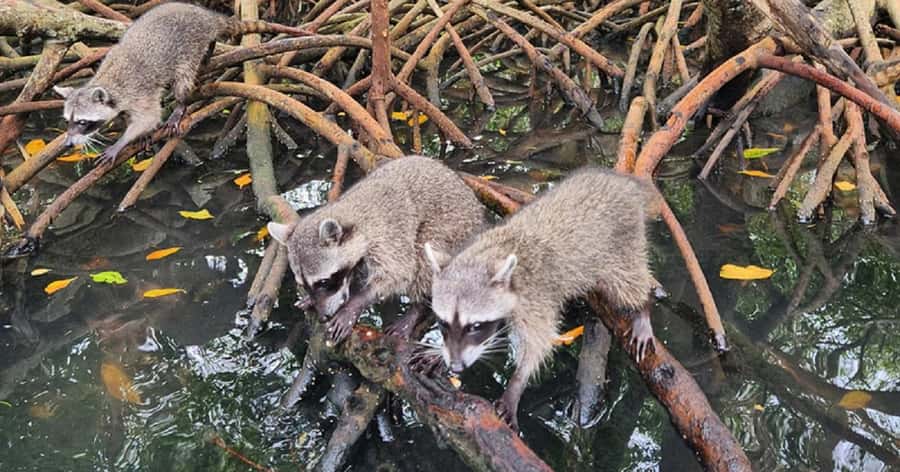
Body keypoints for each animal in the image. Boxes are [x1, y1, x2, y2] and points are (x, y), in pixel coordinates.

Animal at [54, 2, 310, 166]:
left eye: (83, 122)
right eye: (68, 121)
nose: (68, 144)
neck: (107, 82)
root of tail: (204, 15)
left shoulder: (138, 92)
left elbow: (148, 117)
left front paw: (123, 141)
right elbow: (134, 118)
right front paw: (140, 134)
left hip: (188, 49)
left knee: (184, 81)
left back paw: (180, 104)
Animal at [268, 156, 486, 344]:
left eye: (323, 282)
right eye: (304, 284)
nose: (323, 317)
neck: (351, 213)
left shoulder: (388, 238)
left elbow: (399, 273)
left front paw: (356, 302)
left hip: (453, 231)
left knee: (426, 251)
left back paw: (419, 307)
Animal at [423, 168, 659, 429]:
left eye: (474, 326)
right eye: (443, 323)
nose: (456, 366)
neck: (489, 254)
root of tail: (624, 183)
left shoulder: (535, 297)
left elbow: (538, 342)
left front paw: (517, 383)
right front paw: (439, 352)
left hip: (621, 244)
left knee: (628, 281)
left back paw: (642, 308)